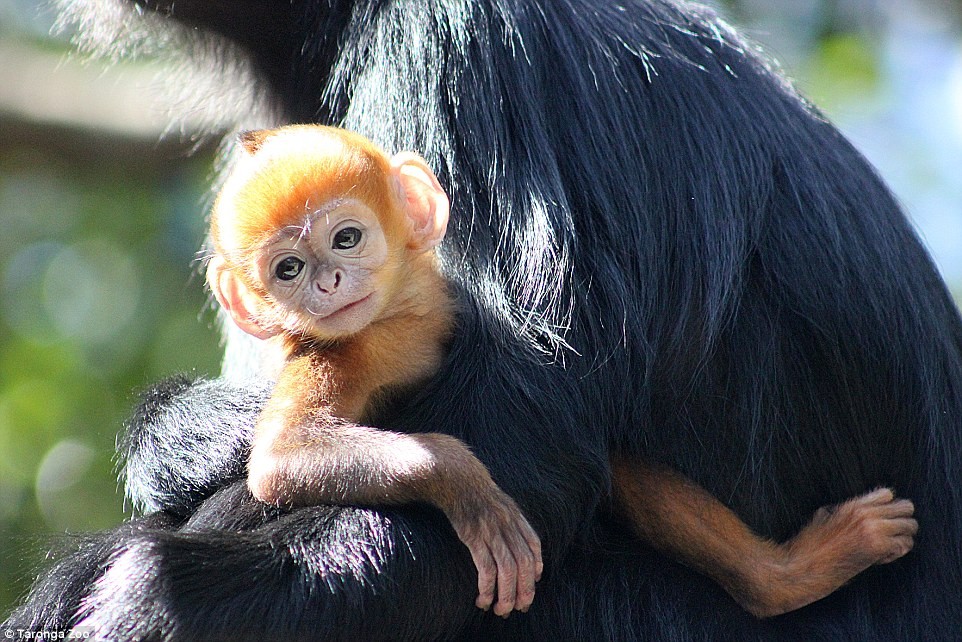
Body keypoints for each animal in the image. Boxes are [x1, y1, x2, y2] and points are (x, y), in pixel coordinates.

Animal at [208, 122, 916, 616]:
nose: (326, 283)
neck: (401, 321)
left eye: (346, 238)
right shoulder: (342, 351)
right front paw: (469, 489)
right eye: (287, 269)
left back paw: (785, 580)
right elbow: (282, 459)